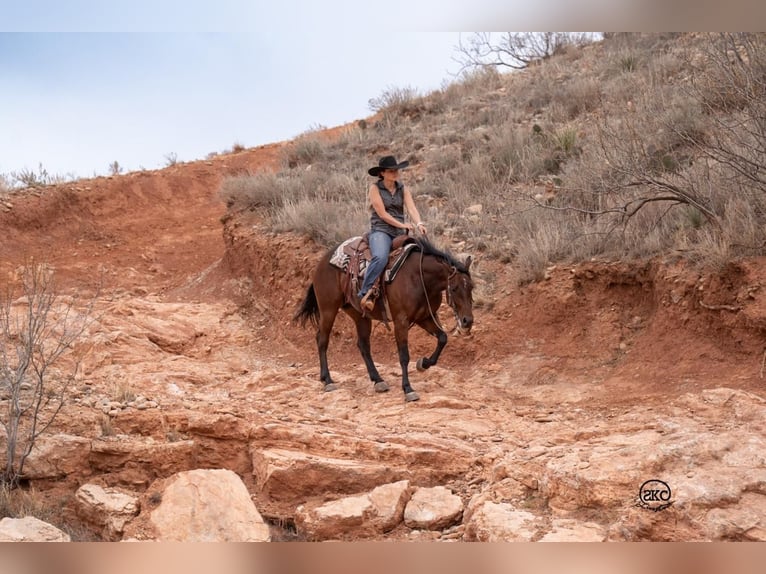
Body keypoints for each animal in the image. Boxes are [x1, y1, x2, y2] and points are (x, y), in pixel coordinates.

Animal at [294, 236, 474, 402]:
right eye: (454, 288)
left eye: (471, 287)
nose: (467, 321)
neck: (419, 278)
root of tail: (323, 261)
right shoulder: (401, 321)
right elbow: (404, 356)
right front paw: (408, 389)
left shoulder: (425, 317)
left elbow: (443, 338)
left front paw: (423, 364)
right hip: (328, 309)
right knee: (322, 340)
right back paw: (328, 380)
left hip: (359, 315)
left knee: (363, 345)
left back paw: (378, 380)